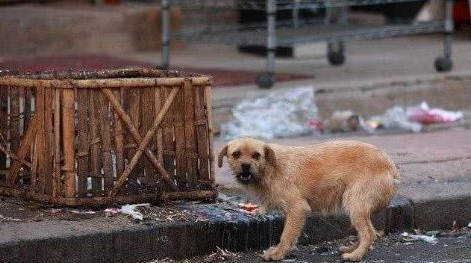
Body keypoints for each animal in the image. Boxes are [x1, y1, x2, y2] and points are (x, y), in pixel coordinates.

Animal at [218, 138, 398, 262]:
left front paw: (278, 253)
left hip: (355, 204)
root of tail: (391, 165)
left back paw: (355, 256)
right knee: (367, 232)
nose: (246, 166)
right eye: (236, 154)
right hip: (355, 207)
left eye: (256, 155)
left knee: (369, 233)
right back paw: (351, 249)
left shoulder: (297, 208)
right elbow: (289, 233)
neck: (270, 167)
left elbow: (286, 235)